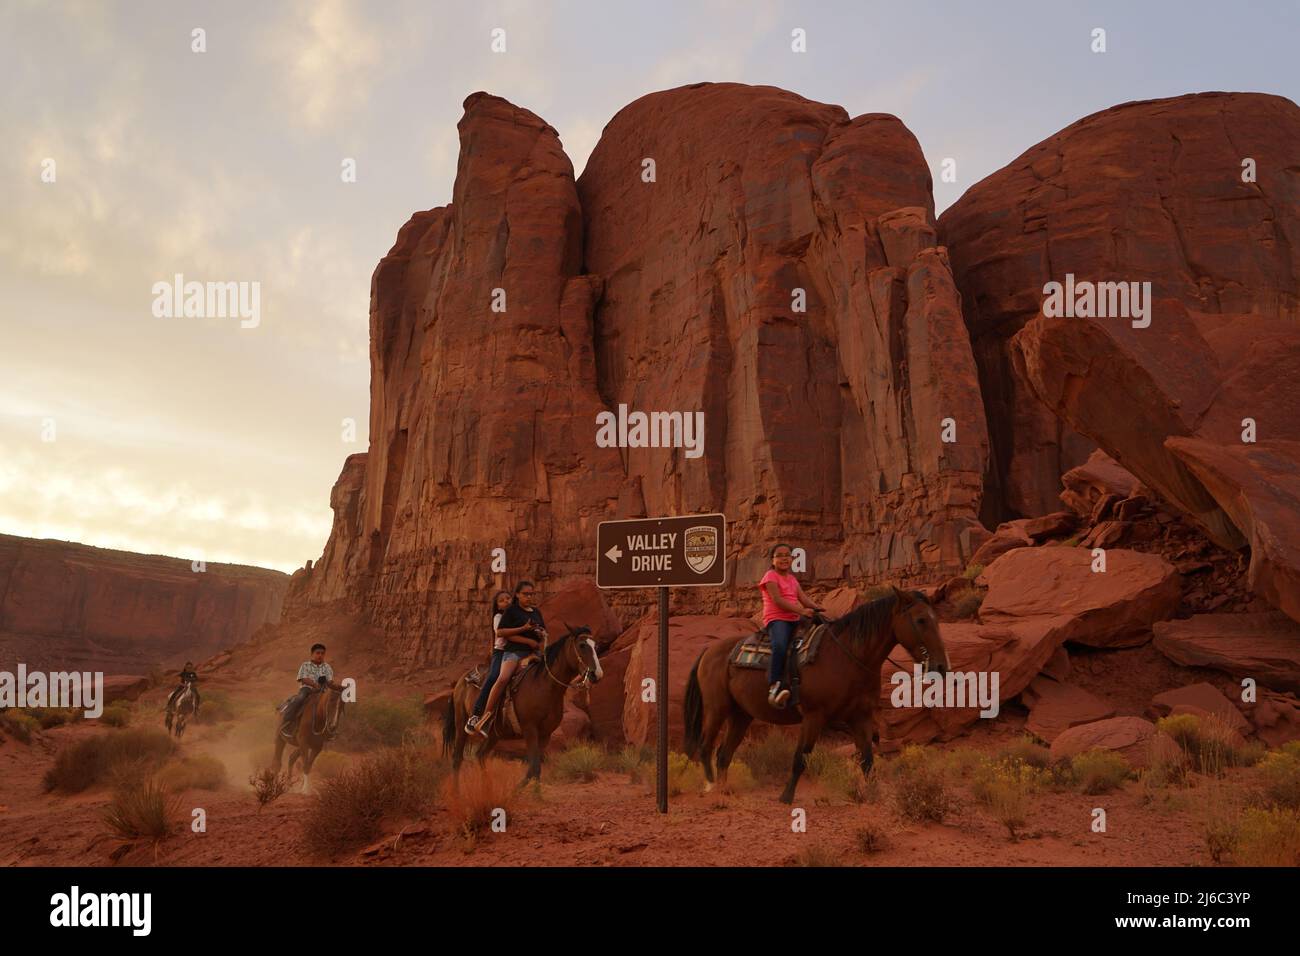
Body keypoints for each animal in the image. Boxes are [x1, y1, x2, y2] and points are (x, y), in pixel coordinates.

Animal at [441, 629, 603, 785]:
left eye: (596, 647)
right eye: (582, 645)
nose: (597, 674)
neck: (543, 685)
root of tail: (461, 680)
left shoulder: (545, 734)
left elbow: (533, 769)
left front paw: (528, 792)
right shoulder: (529, 729)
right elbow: (535, 768)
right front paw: (518, 791)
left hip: (494, 734)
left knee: (480, 755)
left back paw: (487, 788)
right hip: (461, 724)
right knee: (457, 759)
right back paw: (457, 791)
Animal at [686, 587, 951, 806]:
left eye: (937, 620)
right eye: (921, 620)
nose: (940, 666)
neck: (847, 657)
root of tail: (709, 651)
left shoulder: (861, 717)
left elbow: (867, 760)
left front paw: (874, 795)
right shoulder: (814, 716)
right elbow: (801, 758)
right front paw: (786, 797)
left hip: (741, 715)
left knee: (723, 754)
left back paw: (724, 791)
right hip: (716, 709)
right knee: (706, 747)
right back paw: (711, 787)